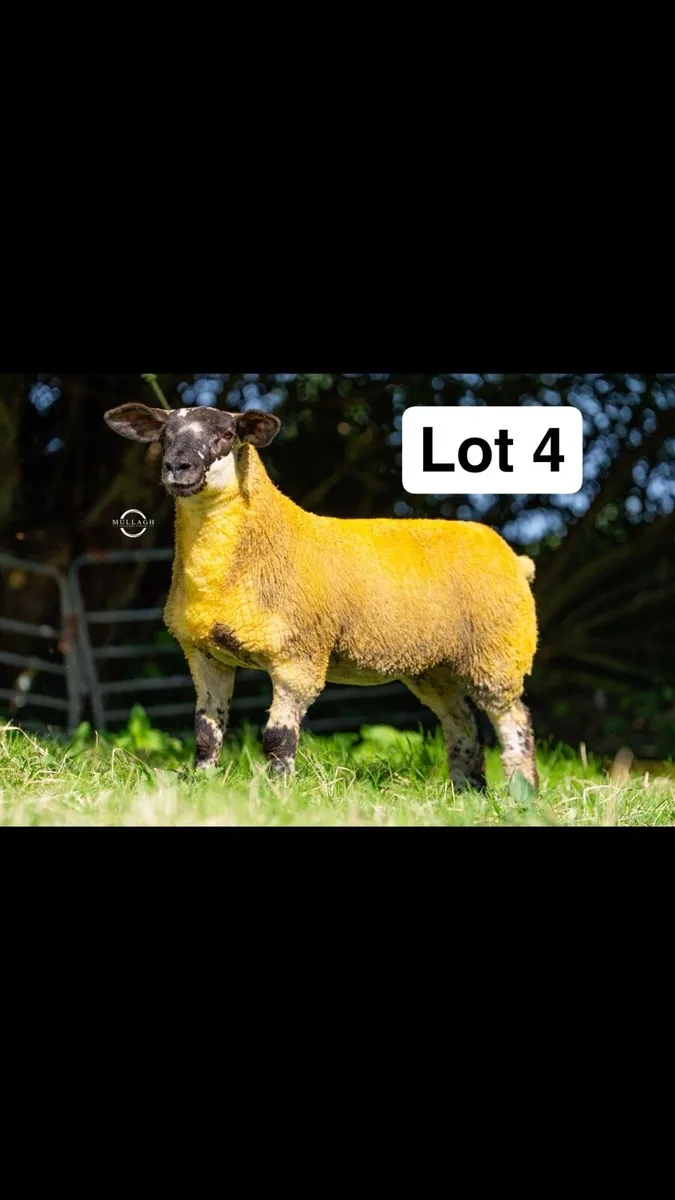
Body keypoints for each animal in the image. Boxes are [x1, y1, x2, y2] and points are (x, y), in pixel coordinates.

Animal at [104, 403, 539, 790]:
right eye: (164, 435)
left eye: (227, 435)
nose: (178, 467)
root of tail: (514, 558)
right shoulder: (205, 655)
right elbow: (205, 734)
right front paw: (202, 785)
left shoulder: (299, 655)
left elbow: (278, 739)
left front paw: (278, 793)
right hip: (436, 666)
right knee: (462, 723)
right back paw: (468, 792)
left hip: (498, 652)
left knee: (514, 721)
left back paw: (522, 793)